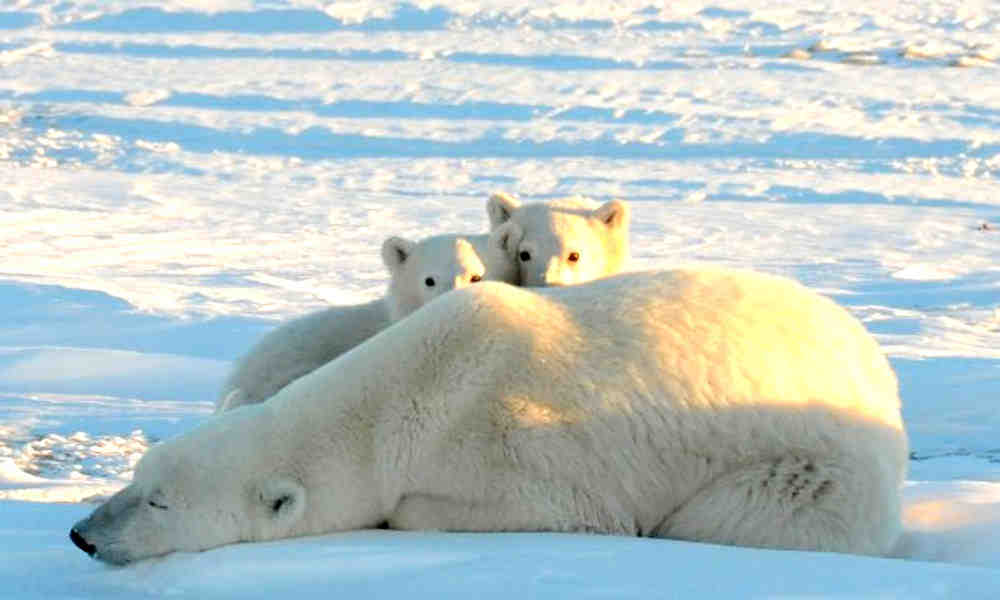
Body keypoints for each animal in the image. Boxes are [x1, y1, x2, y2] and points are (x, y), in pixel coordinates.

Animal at [70, 268, 908, 564]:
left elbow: (557, 511)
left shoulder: (519, 447)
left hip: (815, 464)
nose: (82, 534)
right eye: (137, 478)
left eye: (159, 503)